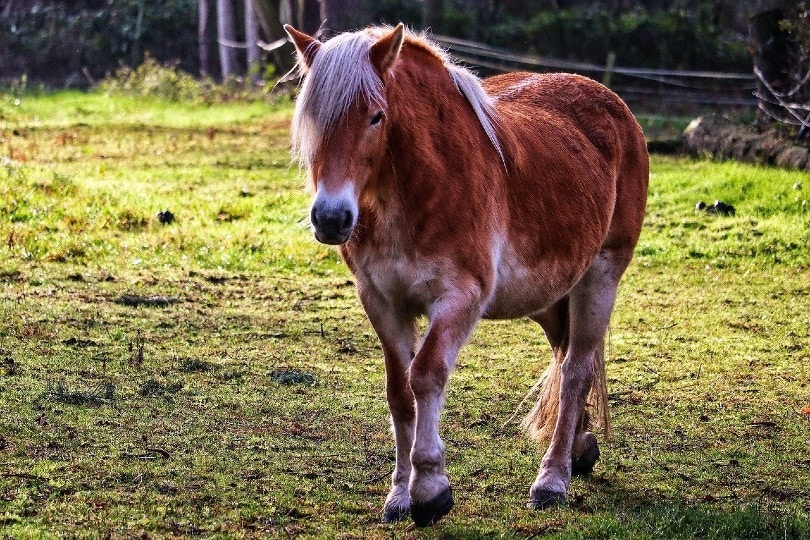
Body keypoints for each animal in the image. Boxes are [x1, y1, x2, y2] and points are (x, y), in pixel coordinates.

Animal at [284, 23, 652, 524]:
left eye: (376, 117)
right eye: (312, 118)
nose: (332, 218)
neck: (421, 186)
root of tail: (616, 108)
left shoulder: (460, 298)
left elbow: (425, 375)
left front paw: (430, 489)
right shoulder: (381, 300)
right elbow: (399, 390)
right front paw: (399, 494)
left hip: (600, 276)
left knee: (576, 369)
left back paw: (552, 479)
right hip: (549, 296)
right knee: (565, 355)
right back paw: (580, 448)